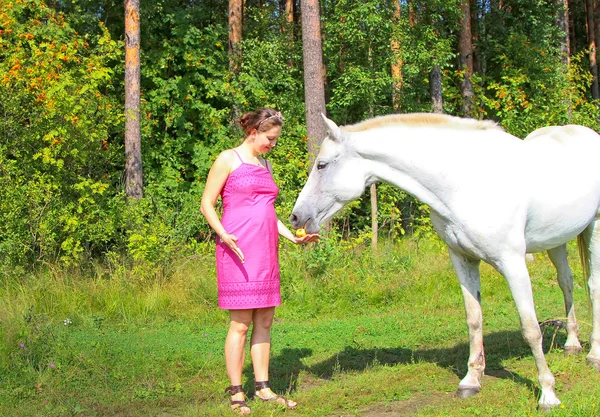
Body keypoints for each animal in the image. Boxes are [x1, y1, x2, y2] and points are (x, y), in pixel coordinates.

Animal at [290, 114, 600, 410]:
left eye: (321, 165)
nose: (295, 217)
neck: (465, 182)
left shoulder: (512, 263)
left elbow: (530, 329)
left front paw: (548, 393)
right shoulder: (463, 259)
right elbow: (474, 319)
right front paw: (471, 381)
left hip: (594, 228)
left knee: (592, 287)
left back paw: (593, 355)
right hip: (557, 240)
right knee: (567, 282)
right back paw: (572, 344)